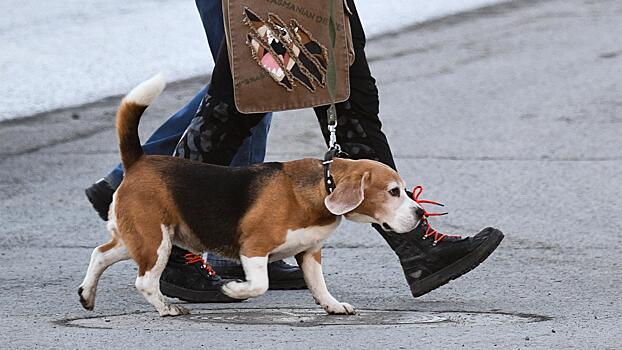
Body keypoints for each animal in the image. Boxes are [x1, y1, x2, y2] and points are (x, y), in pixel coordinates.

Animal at [78, 75, 424, 316]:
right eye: (393, 192)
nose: (420, 213)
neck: (322, 185)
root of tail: (138, 160)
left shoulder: (310, 252)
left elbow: (319, 285)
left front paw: (334, 305)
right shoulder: (254, 249)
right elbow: (260, 285)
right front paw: (234, 290)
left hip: (140, 238)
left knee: (100, 254)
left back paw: (87, 294)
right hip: (156, 239)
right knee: (145, 281)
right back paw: (167, 308)